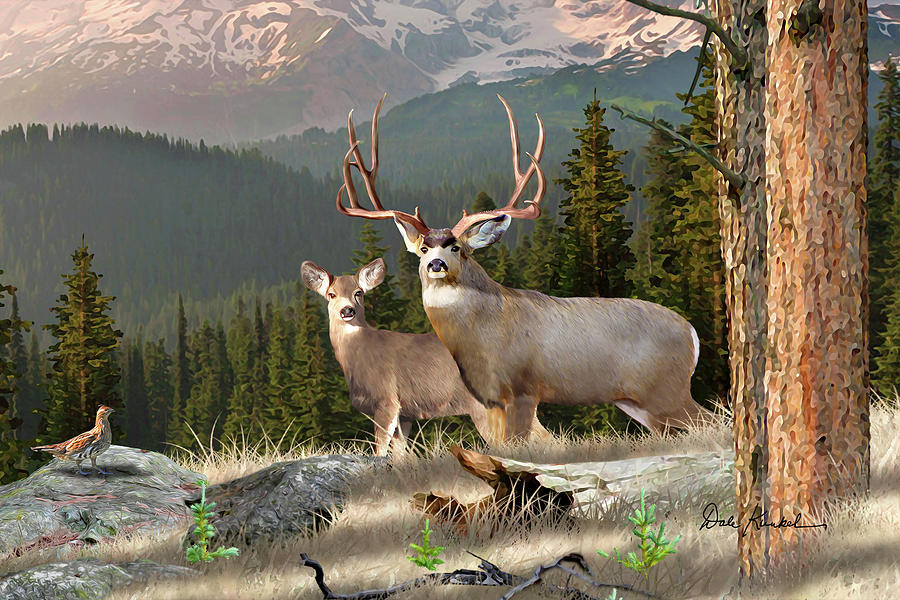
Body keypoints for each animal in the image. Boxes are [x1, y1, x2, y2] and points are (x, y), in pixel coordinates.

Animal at [301, 257, 548, 454]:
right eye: (331, 294)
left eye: (358, 293)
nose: (347, 310)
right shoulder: (404, 414)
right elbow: (400, 456)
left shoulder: (386, 401)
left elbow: (380, 452)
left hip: (485, 405)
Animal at [333, 95, 715, 442]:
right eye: (424, 248)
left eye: (457, 248)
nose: (437, 264)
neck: (480, 336)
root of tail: (692, 334)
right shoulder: (489, 399)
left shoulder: (522, 389)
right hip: (639, 400)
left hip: (666, 389)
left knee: (711, 420)